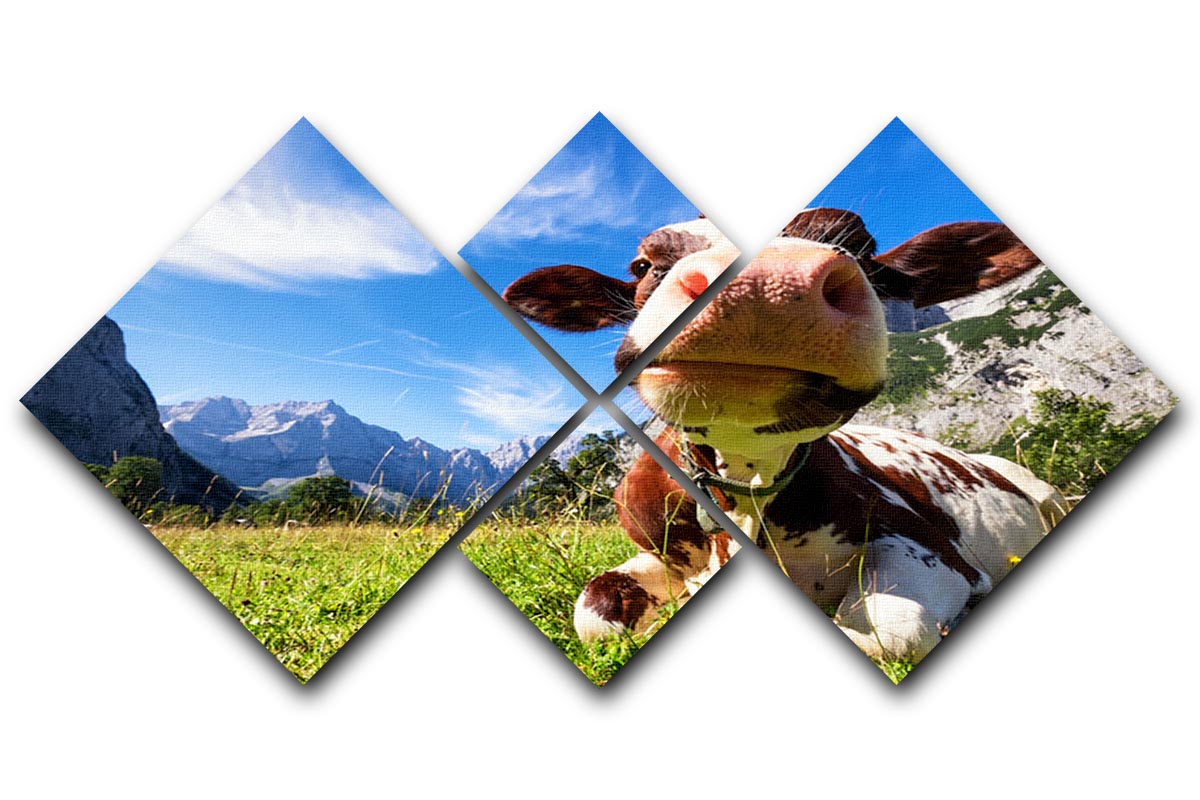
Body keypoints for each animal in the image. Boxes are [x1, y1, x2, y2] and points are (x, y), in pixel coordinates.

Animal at [503, 210, 1067, 666]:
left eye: (859, 245)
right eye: (643, 265)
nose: (767, 285)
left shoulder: (935, 546)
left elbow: (884, 633)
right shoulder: (656, 552)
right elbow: (593, 612)